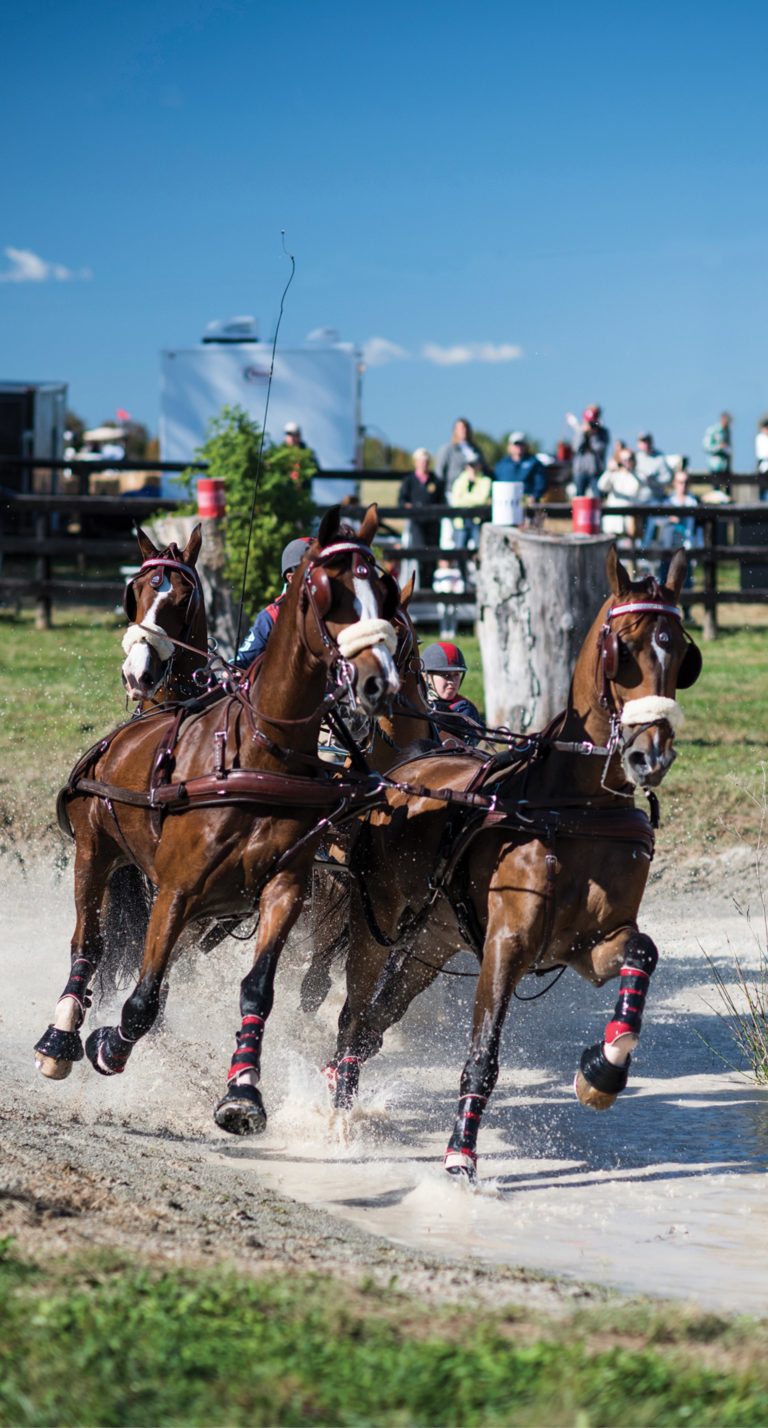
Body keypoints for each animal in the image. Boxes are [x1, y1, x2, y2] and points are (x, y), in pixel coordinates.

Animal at [32, 508, 396, 1130]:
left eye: (383, 593)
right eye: (134, 592)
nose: (139, 671)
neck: (259, 754)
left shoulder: (284, 889)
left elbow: (256, 991)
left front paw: (243, 1090)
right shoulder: (176, 888)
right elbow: (142, 994)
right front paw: (109, 1043)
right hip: (94, 852)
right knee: (89, 941)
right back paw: (60, 1036)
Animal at [322, 551, 699, 1176]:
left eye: (681, 653)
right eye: (622, 648)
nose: (651, 755)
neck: (573, 807)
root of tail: (402, 772)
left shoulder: (590, 945)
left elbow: (641, 954)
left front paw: (603, 1068)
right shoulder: (507, 943)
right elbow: (484, 1054)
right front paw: (459, 1159)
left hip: (429, 946)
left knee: (372, 1024)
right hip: (375, 928)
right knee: (353, 1016)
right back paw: (335, 1119)